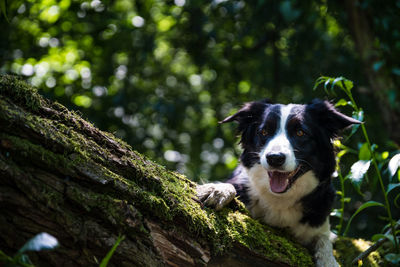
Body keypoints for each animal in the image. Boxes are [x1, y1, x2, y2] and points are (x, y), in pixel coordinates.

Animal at [197, 99, 360, 266]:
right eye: (264, 132)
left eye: (300, 132)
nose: (275, 158)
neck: (280, 198)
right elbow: (231, 185)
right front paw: (217, 190)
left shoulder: (317, 223)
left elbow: (324, 239)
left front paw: (329, 260)